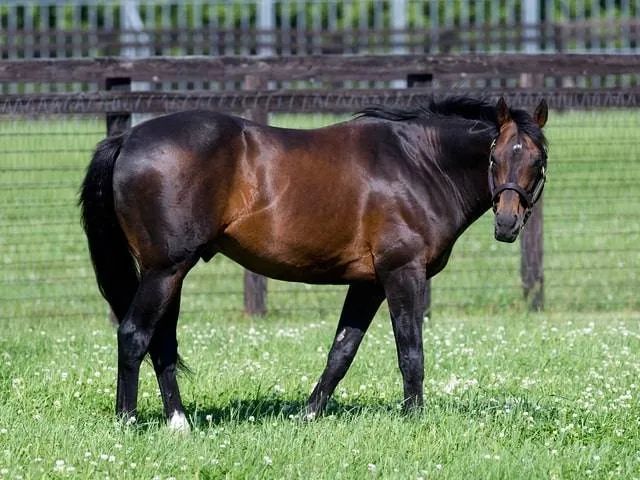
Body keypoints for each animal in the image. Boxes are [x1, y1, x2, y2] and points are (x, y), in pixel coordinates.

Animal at [80, 95, 548, 430]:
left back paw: (178, 422)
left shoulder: (368, 283)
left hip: (170, 272)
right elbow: (411, 351)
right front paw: (414, 418)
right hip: (165, 270)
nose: (506, 223)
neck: (418, 163)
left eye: (537, 160)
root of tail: (127, 140)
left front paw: (308, 415)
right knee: (135, 335)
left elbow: (341, 351)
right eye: (495, 156)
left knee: (161, 340)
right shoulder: (403, 273)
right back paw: (129, 422)